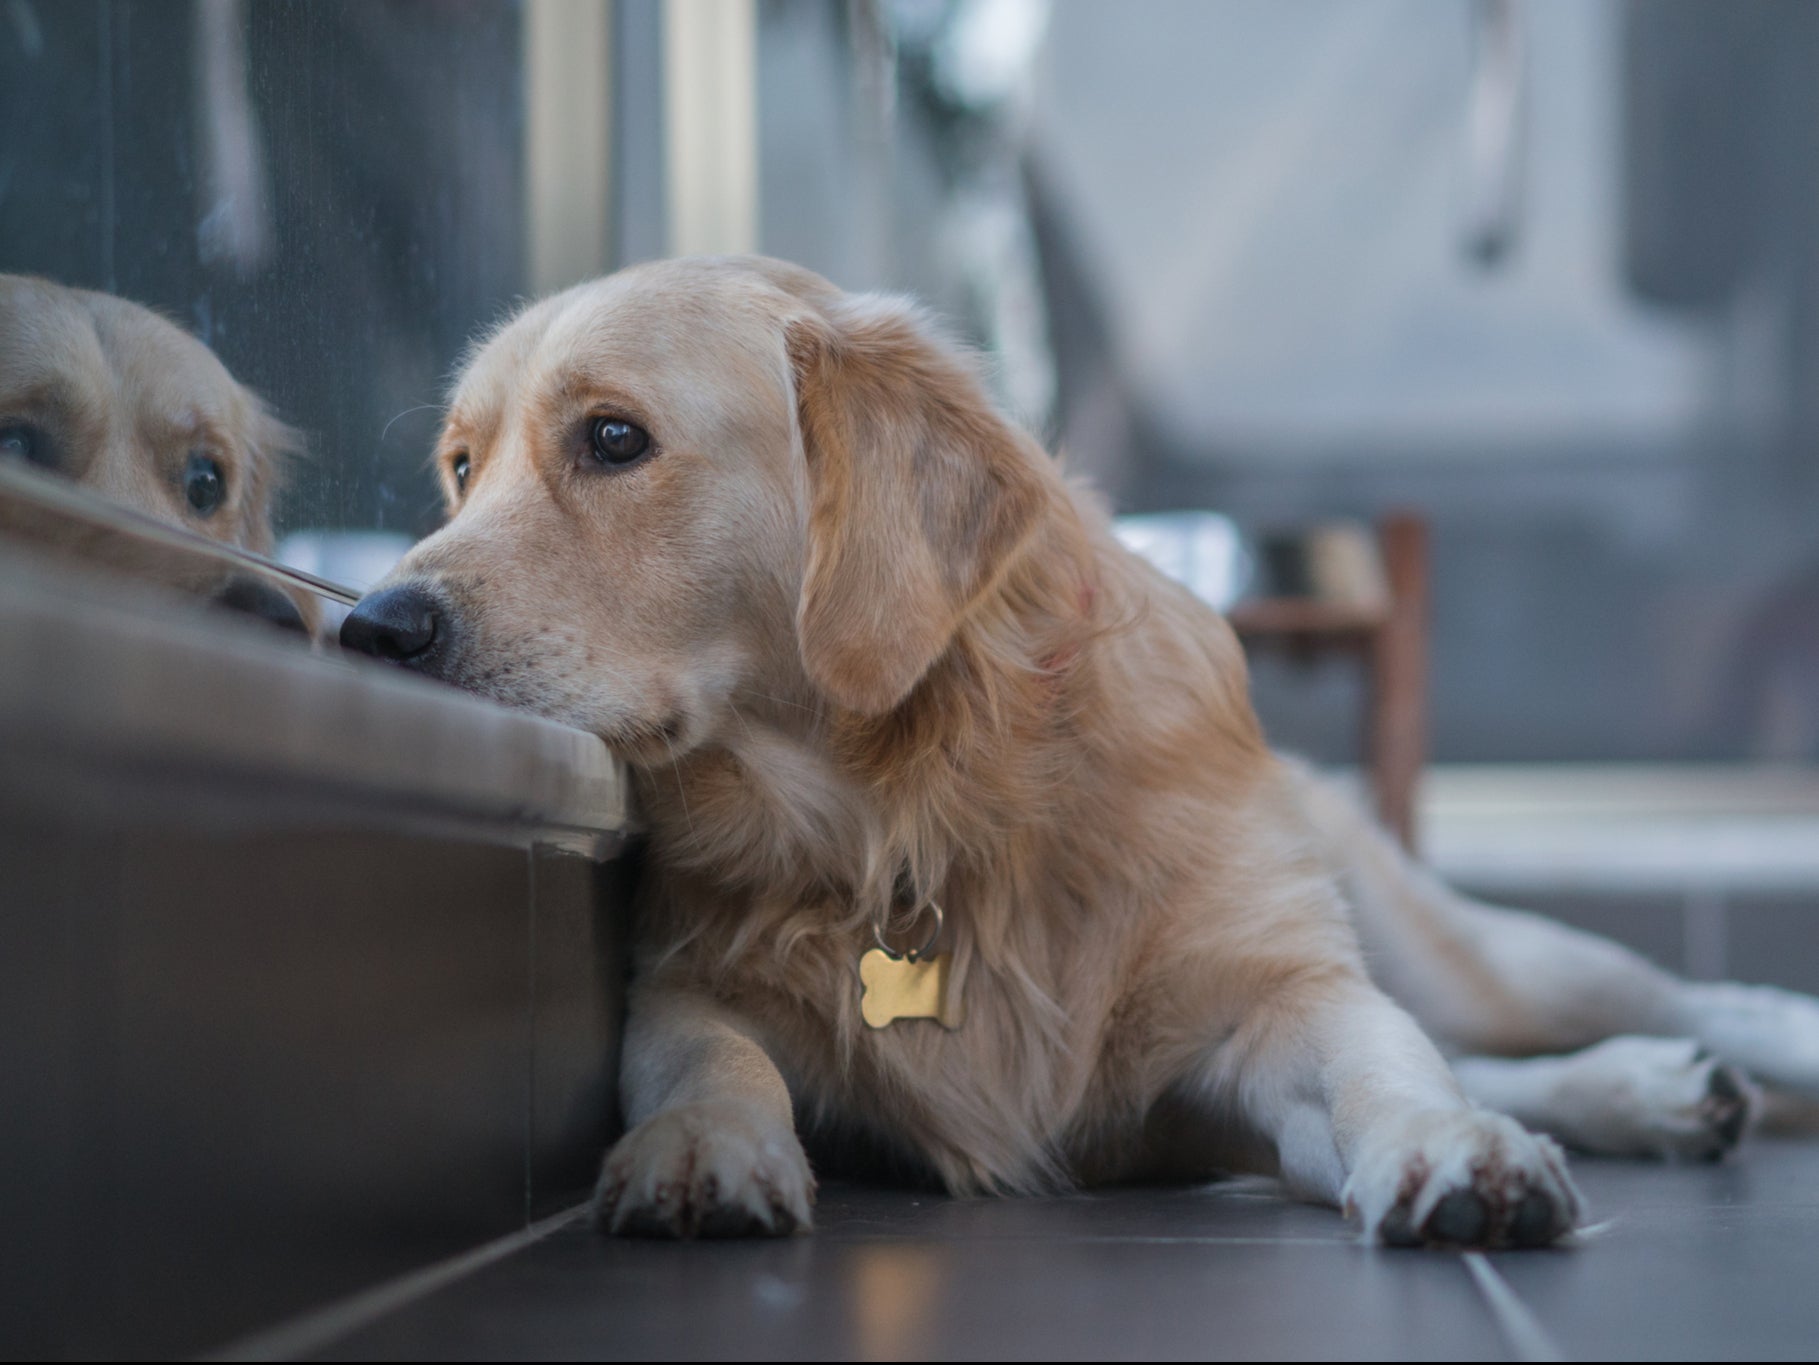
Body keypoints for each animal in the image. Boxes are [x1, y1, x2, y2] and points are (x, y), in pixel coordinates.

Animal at [338, 256, 1819, 1252]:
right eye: (460, 466)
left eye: (613, 439)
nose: (371, 625)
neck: (914, 812)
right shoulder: (688, 980)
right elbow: (707, 1058)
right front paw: (699, 1147)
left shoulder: (1273, 997)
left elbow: (1381, 1066)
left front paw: (1448, 1149)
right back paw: (1659, 1094)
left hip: (1454, 948)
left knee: (1615, 999)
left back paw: (1703, 1060)